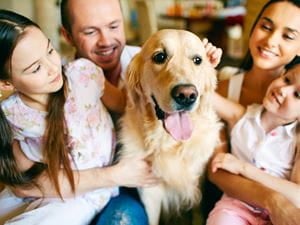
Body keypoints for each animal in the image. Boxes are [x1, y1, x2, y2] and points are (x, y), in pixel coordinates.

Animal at [119, 29, 220, 225]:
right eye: (160, 57)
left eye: (197, 60)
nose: (187, 95)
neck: (170, 143)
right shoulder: (150, 192)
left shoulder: (197, 182)